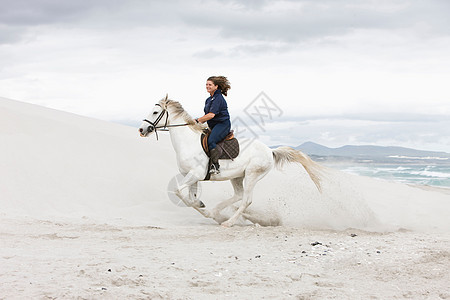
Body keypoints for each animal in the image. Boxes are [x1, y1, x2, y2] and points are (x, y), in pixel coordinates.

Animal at [139, 96, 322, 227]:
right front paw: (204, 207)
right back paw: (217, 212)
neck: (187, 141)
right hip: (237, 176)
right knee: (238, 195)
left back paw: (228, 222)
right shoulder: (191, 177)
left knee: (246, 200)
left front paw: (205, 209)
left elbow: (178, 192)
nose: (142, 129)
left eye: (155, 112)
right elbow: (191, 198)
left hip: (252, 175)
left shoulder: (195, 175)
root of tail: (270, 151)